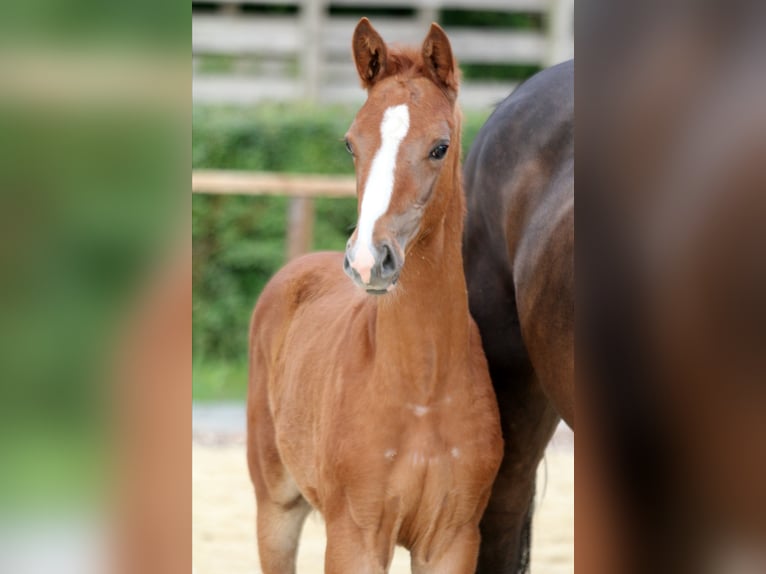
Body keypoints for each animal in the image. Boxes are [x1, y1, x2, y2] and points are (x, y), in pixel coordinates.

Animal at [249, 19, 508, 574]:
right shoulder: (356, 536)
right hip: (276, 506)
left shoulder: (452, 540)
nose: (369, 259)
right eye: (351, 143)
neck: (422, 390)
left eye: (440, 147)